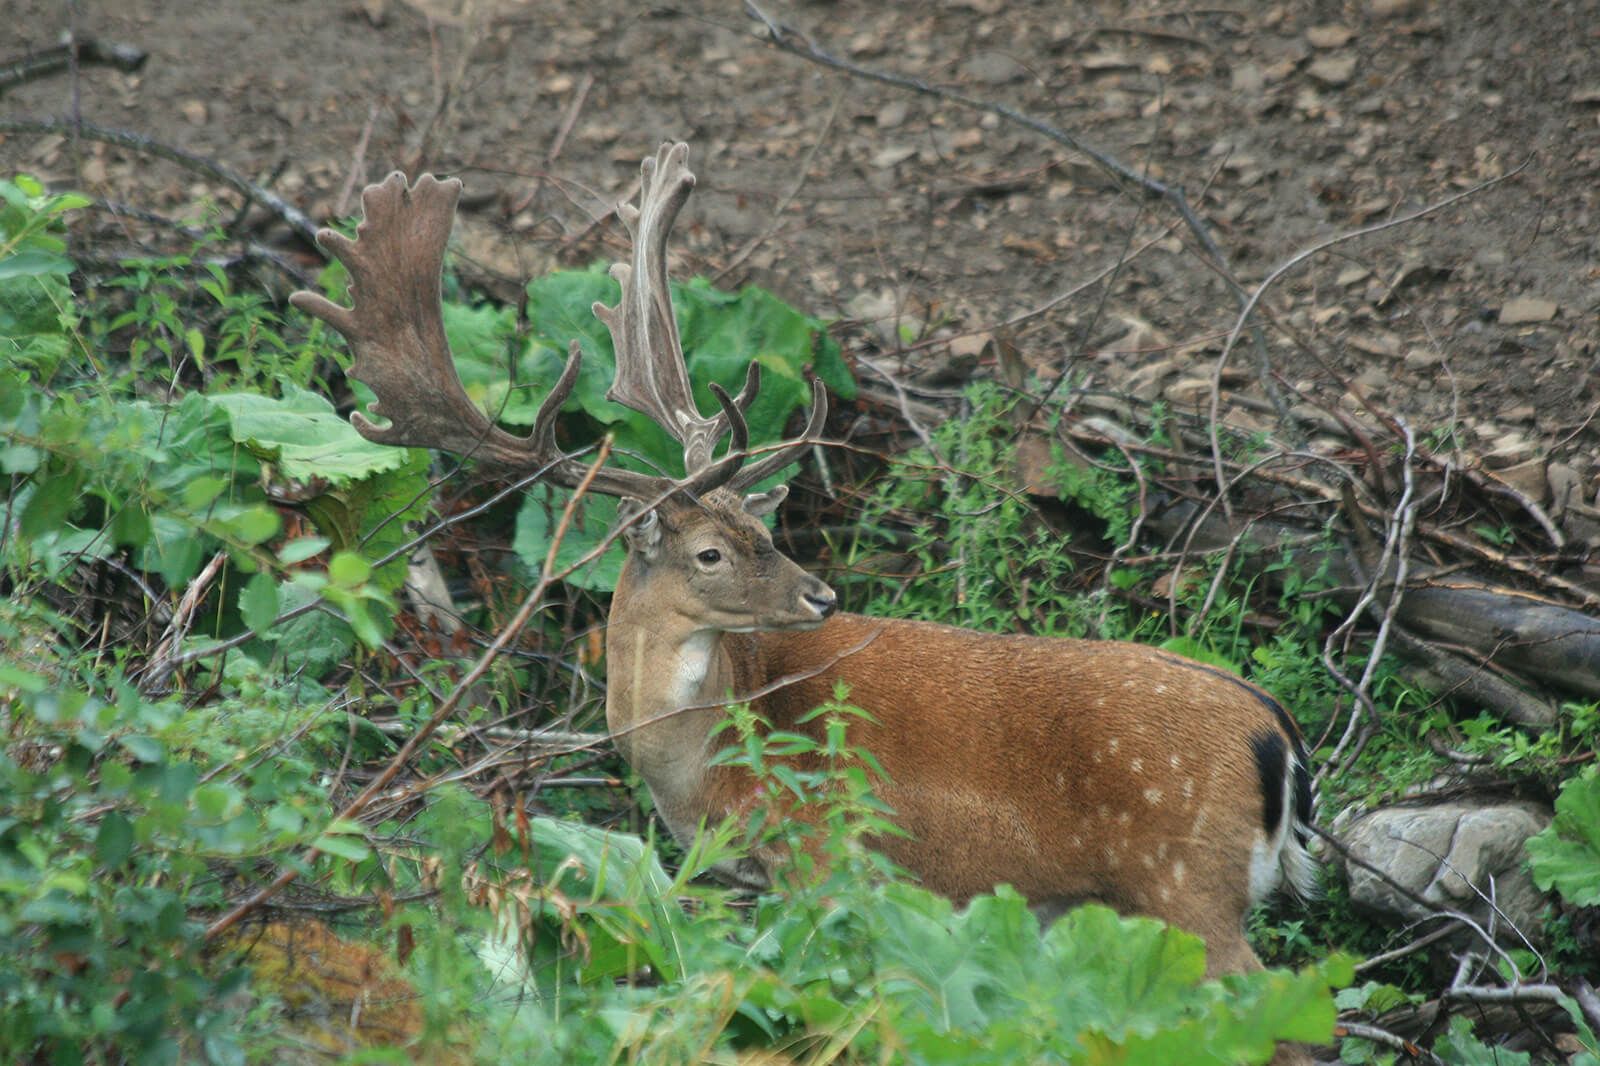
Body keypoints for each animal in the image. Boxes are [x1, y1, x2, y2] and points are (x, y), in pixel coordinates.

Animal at [293, 143, 1319, 1060]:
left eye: (765, 530)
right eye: (713, 549)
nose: (822, 593)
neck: (695, 769)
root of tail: (1278, 731)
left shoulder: (827, 859)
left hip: (1186, 881)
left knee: (1287, 1016)